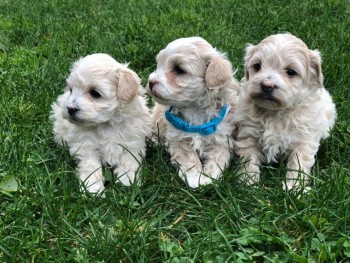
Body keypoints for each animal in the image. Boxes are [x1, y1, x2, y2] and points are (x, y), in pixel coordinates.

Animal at [51, 53, 152, 195]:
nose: (70, 108)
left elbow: (129, 161)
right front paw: (92, 190)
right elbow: (91, 167)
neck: (106, 123)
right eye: (71, 90)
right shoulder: (87, 147)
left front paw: (127, 182)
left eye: (94, 93)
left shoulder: (133, 143)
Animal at [146, 37, 239, 190]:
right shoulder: (177, 137)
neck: (194, 108)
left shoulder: (222, 138)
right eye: (159, 64)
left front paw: (209, 178)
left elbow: (217, 158)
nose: (151, 82)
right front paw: (195, 178)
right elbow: (188, 159)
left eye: (179, 69)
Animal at [232, 33, 336, 191]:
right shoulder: (248, 133)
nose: (267, 85)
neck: (275, 113)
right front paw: (248, 184)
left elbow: (298, 164)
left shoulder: (303, 140)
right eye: (257, 66)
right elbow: (249, 159)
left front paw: (294, 189)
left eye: (290, 72)